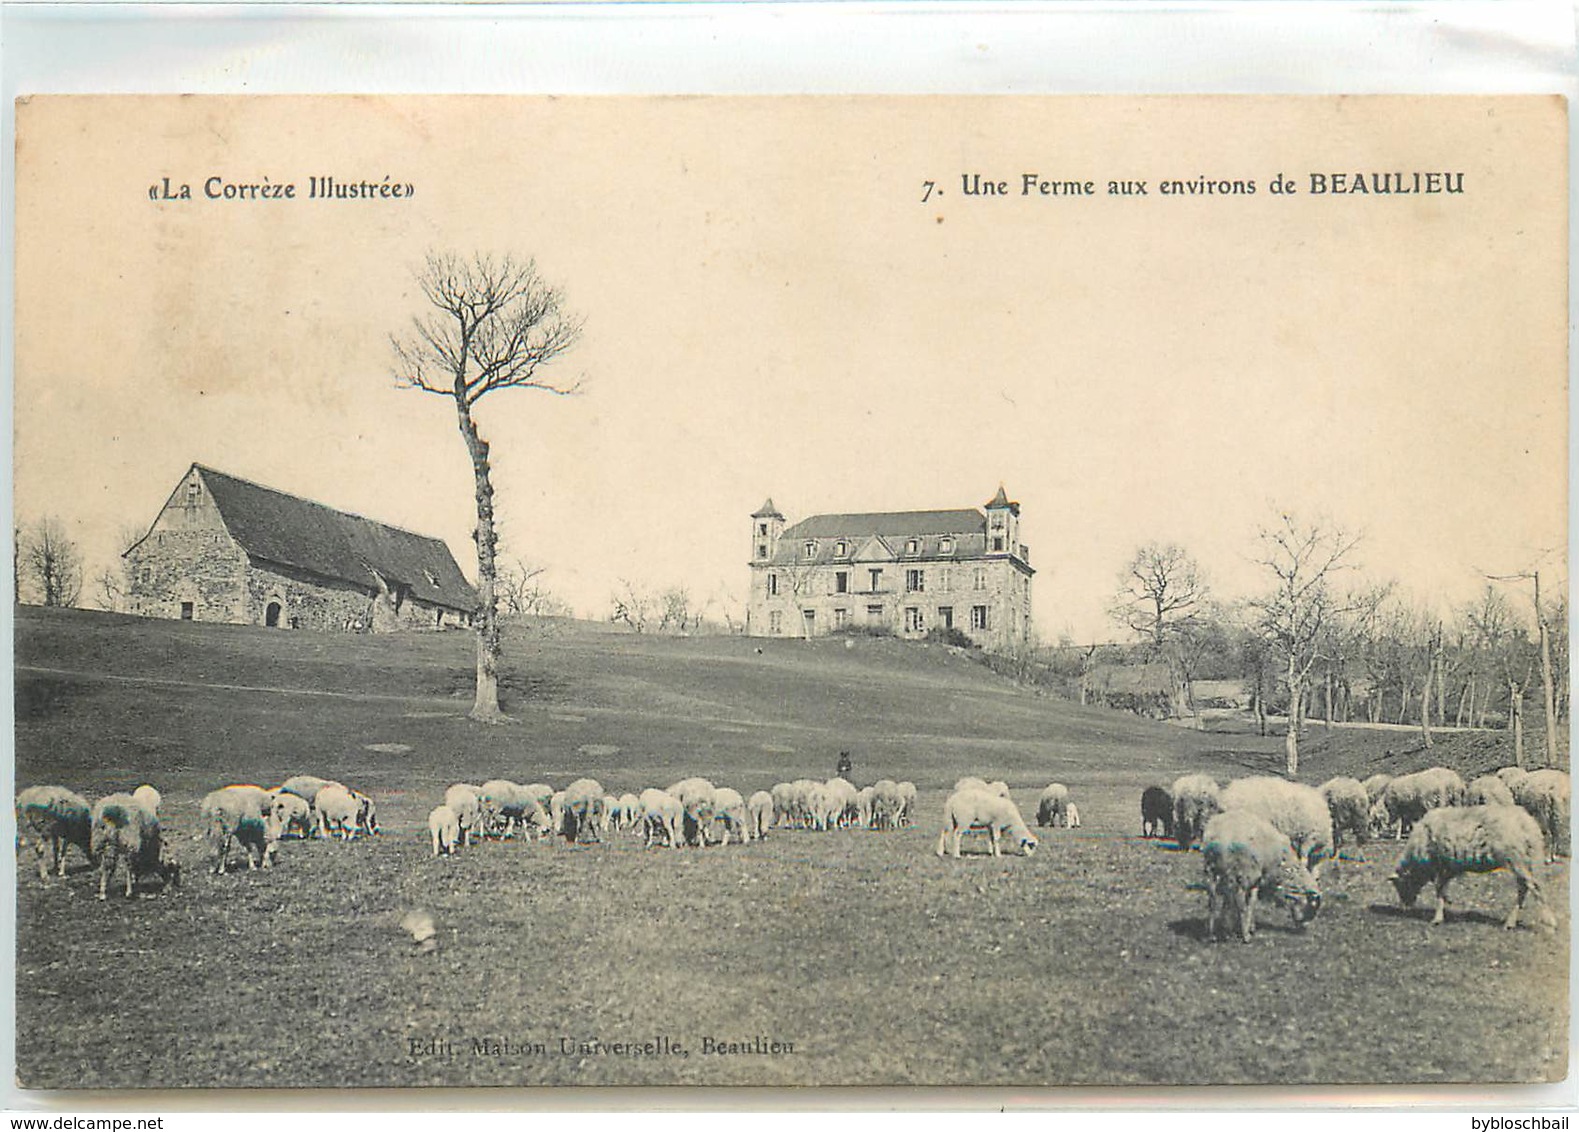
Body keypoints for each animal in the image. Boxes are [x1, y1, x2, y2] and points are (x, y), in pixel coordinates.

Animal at [1200, 808, 1326, 940]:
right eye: (1311, 907)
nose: (1303, 929)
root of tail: (1221, 837)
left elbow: (1230, 900)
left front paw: (1228, 925)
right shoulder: (1259, 877)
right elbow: (1252, 902)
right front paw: (1248, 927)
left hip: (1211, 869)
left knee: (1212, 900)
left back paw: (1211, 934)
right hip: (1245, 872)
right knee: (1240, 901)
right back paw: (1245, 936)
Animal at [1383, 805, 1553, 928]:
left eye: (1399, 885)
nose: (1405, 908)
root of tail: (1527, 823)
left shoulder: (1440, 865)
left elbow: (1439, 890)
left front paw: (1437, 918)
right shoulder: (1449, 867)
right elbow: (1443, 890)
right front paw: (1445, 907)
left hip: (1516, 859)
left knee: (1534, 886)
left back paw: (1549, 922)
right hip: (1523, 860)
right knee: (1524, 888)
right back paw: (1510, 922)